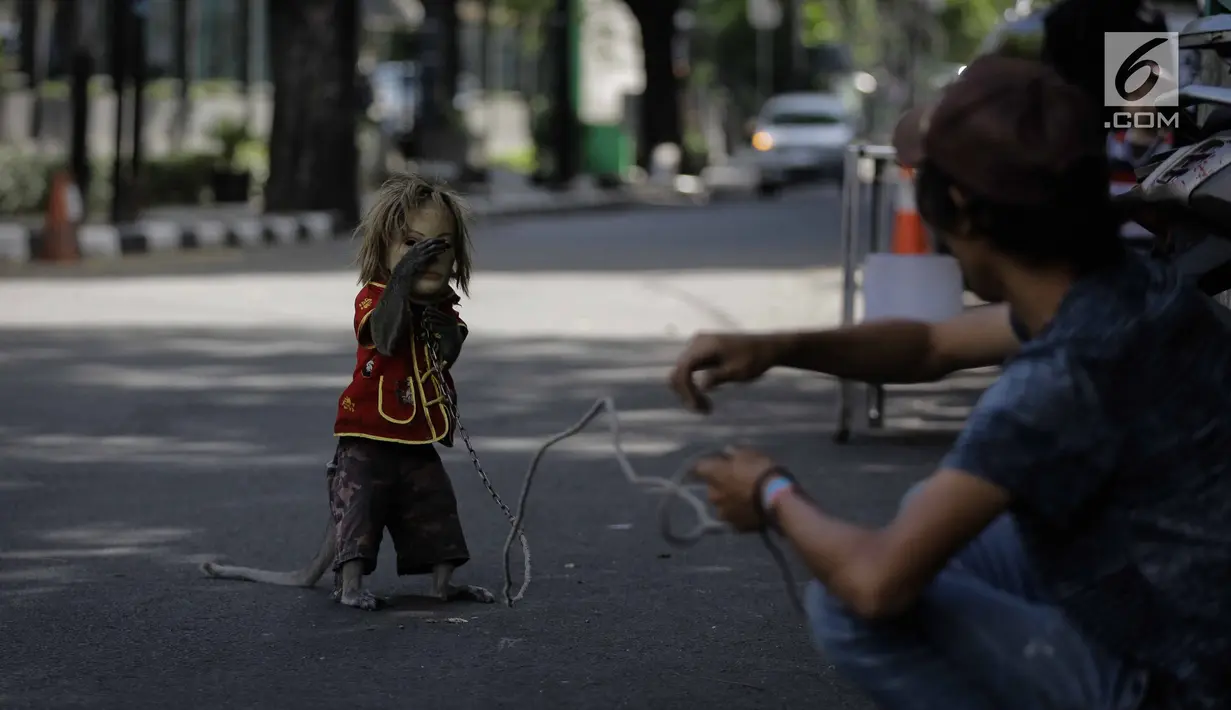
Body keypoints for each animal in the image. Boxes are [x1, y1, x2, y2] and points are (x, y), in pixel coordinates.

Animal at [199, 174, 492, 605]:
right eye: (411, 239)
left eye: (446, 241)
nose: (431, 261)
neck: (419, 304)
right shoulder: (368, 300)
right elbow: (382, 334)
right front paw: (406, 269)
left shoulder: (448, 309)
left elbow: (448, 344)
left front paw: (447, 334)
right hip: (358, 464)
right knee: (357, 518)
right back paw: (352, 589)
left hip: (420, 472)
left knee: (435, 518)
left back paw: (447, 587)